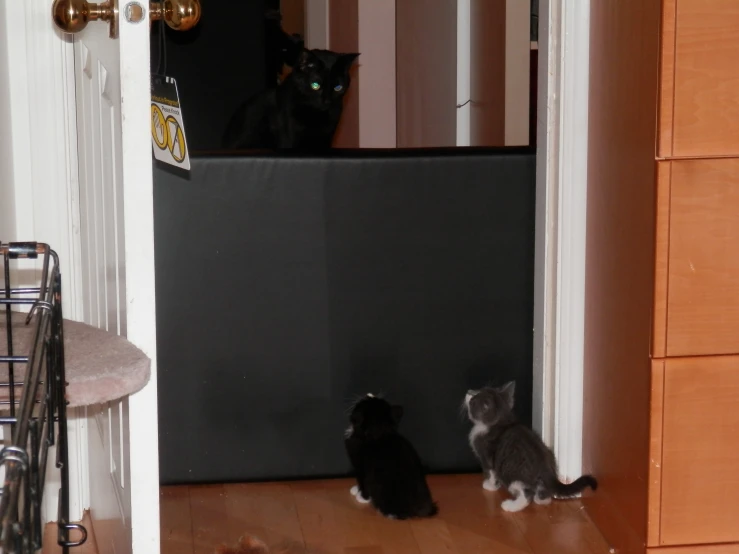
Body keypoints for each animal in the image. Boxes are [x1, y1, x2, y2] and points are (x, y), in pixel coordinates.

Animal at [221, 47, 360, 150]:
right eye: (315, 85)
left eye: (338, 87)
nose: (327, 101)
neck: (314, 114)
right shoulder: (289, 139)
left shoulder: (326, 140)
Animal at [466, 382, 600, 512]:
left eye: (473, 399)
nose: (469, 393)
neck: (500, 421)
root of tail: (546, 468)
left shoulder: (486, 455)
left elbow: (491, 472)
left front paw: (490, 486)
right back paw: (541, 499)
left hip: (513, 474)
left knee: (526, 494)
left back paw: (511, 506)